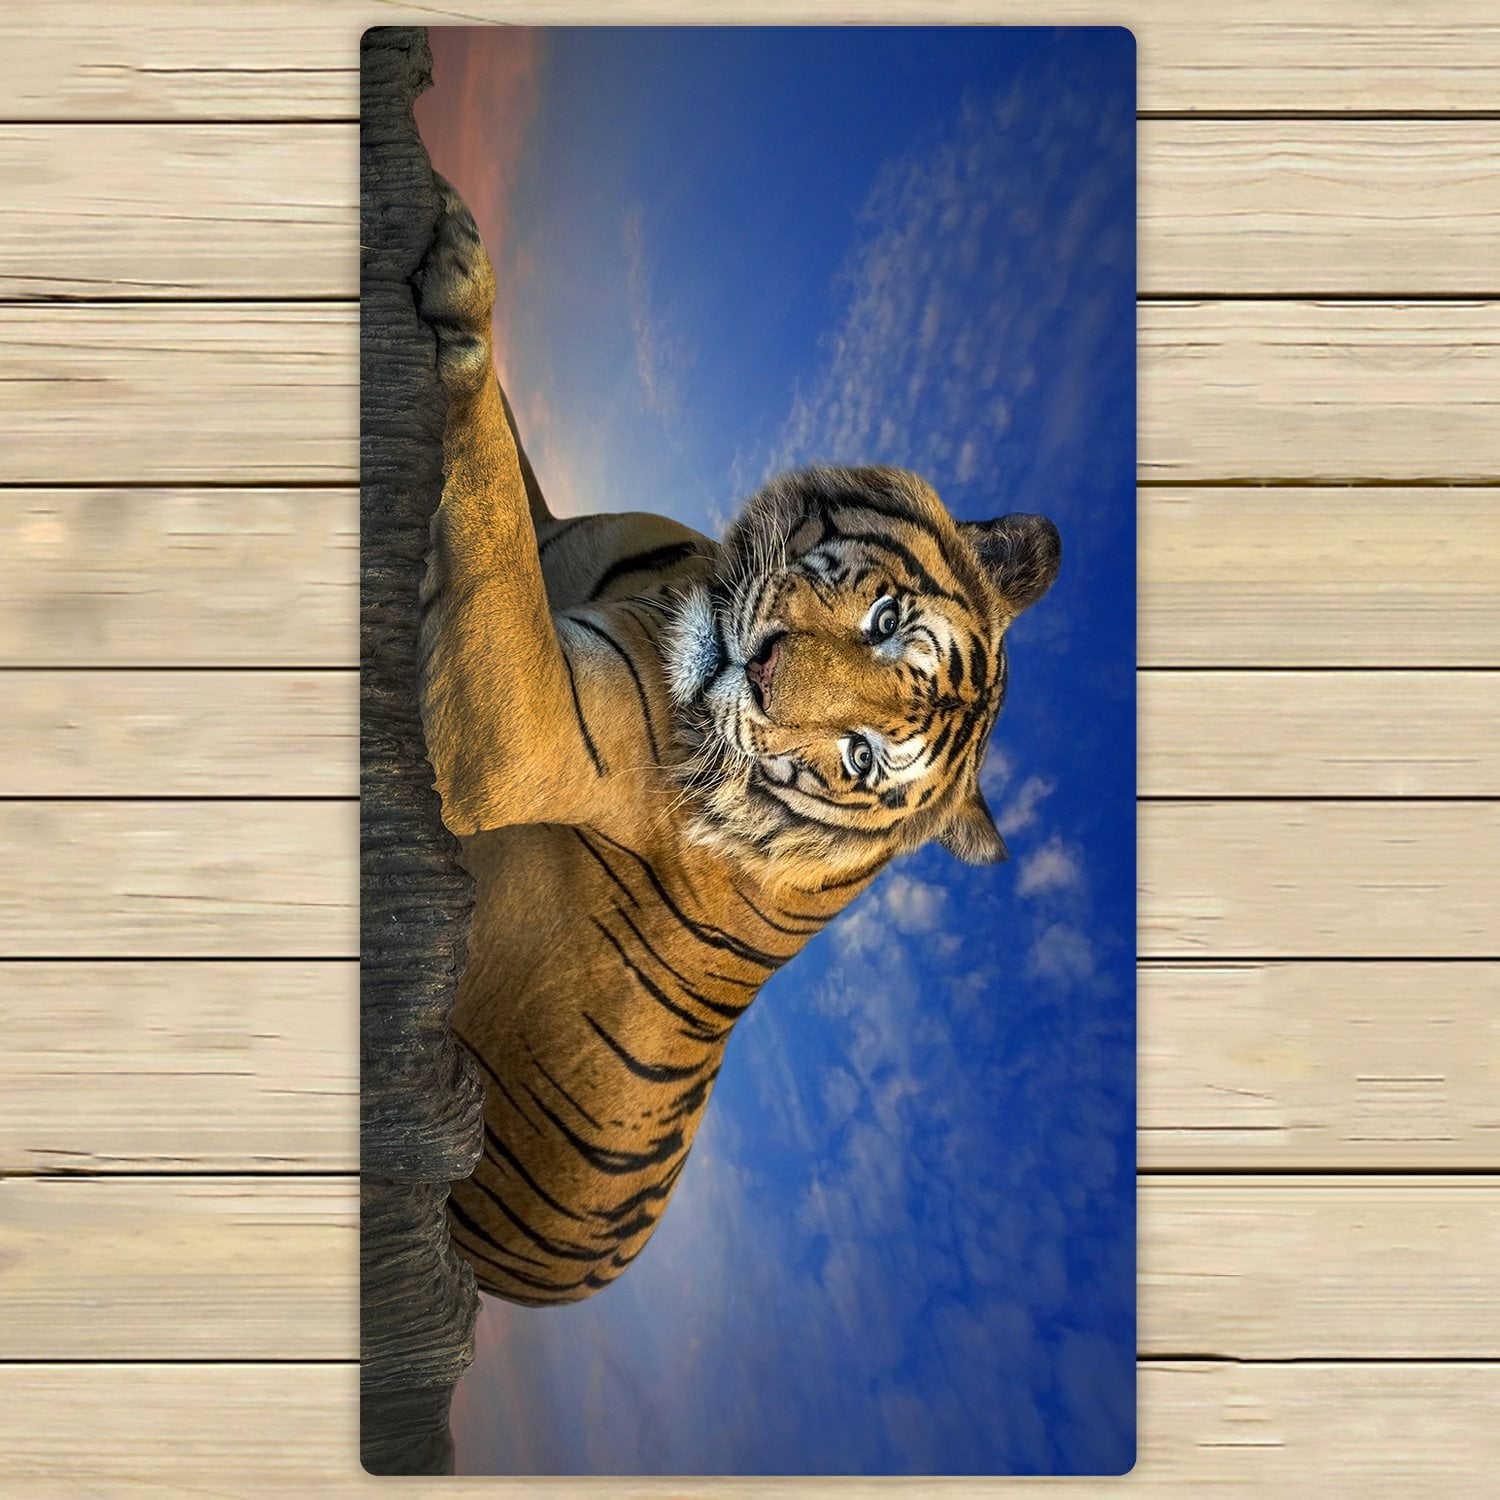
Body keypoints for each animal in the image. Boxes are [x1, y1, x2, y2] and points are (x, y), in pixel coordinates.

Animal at [416, 177, 1061, 1306]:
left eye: (862, 756)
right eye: (885, 619)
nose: (757, 673)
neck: (677, 583)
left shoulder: (521, 726)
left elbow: (486, 488)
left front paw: (461, 278)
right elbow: (506, 461)